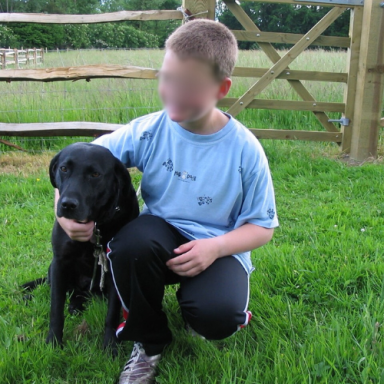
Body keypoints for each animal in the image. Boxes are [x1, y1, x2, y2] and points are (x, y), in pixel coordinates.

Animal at [22, 142, 140, 356]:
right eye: (64, 169)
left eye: (95, 174)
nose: (67, 204)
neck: (96, 224)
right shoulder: (60, 262)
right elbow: (56, 308)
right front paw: (53, 343)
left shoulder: (113, 266)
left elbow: (112, 313)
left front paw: (110, 345)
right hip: (54, 269)